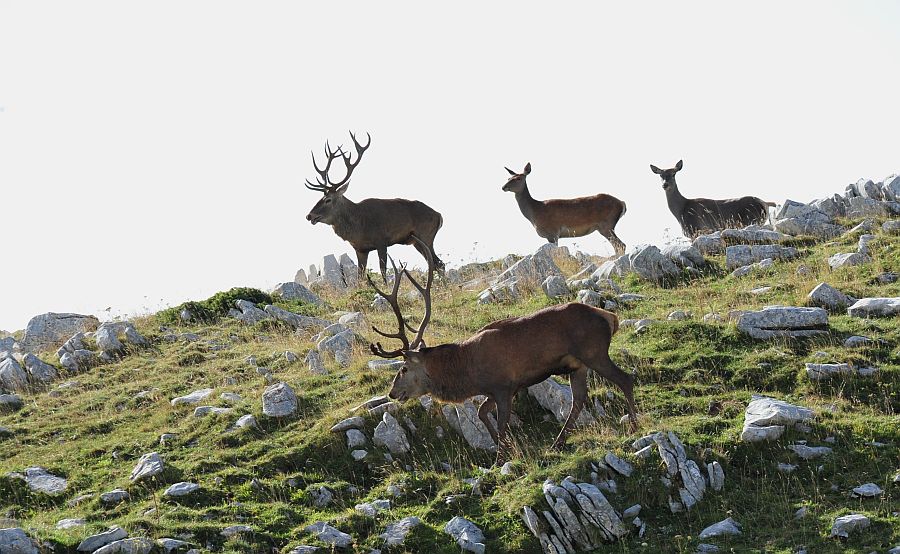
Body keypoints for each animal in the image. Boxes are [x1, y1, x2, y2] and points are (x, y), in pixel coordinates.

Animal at [304, 132, 444, 280]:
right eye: (320, 198)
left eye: (328, 200)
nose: (309, 215)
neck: (359, 226)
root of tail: (439, 215)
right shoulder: (360, 249)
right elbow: (360, 276)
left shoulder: (381, 241)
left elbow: (383, 271)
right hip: (417, 242)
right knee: (437, 264)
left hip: (425, 236)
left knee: (438, 264)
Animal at [368, 239, 640, 460]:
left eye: (403, 368)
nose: (392, 392)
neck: (467, 372)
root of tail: (610, 317)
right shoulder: (497, 389)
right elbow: (481, 413)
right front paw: (504, 448)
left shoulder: (504, 386)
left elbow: (500, 423)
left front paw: (501, 458)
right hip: (577, 365)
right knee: (579, 399)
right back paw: (557, 443)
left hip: (594, 352)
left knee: (625, 379)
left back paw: (634, 426)